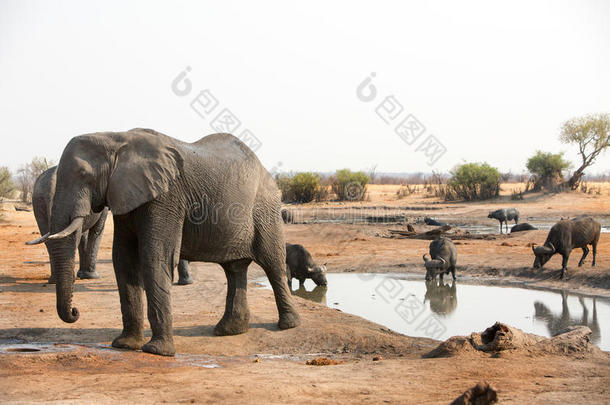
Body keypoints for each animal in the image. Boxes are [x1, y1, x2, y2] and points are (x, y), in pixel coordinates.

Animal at [26, 128, 300, 356]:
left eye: (84, 174)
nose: (75, 312)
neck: (116, 138)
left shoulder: (165, 196)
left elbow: (154, 255)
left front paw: (157, 351)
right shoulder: (127, 196)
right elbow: (123, 259)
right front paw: (125, 345)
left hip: (265, 209)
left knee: (272, 262)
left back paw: (289, 325)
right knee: (234, 269)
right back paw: (228, 330)